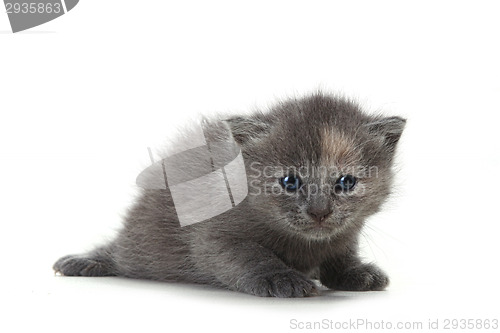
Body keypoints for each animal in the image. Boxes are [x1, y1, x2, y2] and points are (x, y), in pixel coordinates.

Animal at [53, 92, 406, 296]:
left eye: (346, 182)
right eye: (290, 182)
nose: (320, 212)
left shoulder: (346, 235)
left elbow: (341, 255)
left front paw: (356, 272)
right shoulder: (213, 237)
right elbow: (249, 255)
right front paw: (282, 278)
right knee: (120, 253)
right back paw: (84, 261)